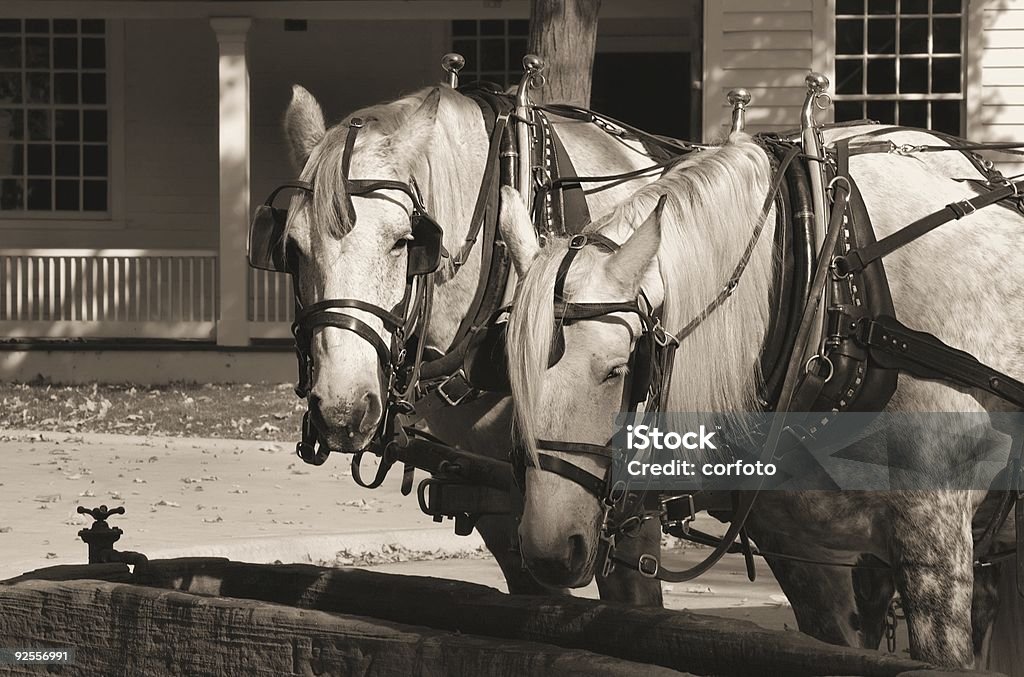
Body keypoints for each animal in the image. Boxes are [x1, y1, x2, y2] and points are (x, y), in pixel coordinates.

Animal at [501, 128, 1024, 671]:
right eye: (513, 373)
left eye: (617, 370)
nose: (549, 550)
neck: (834, 293)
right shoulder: (801, 550)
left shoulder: (934, 536)